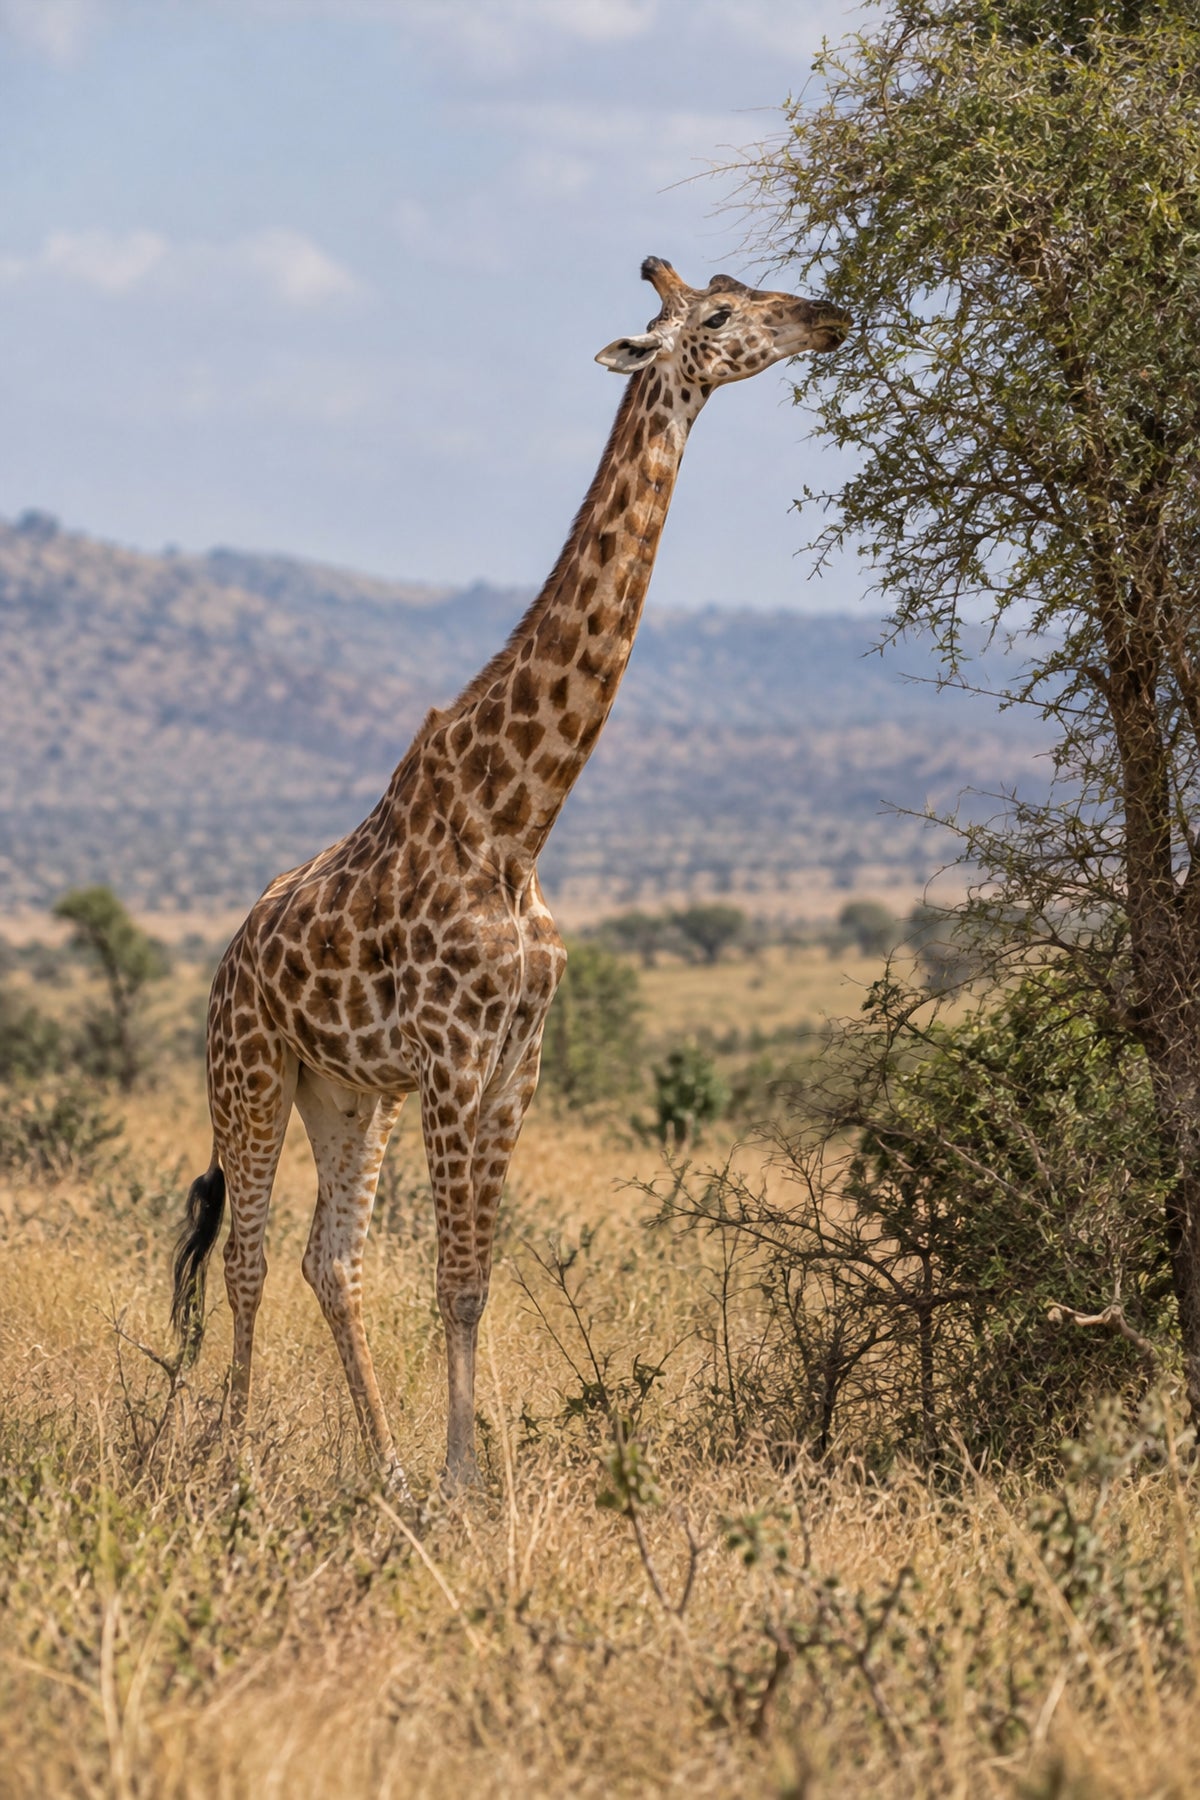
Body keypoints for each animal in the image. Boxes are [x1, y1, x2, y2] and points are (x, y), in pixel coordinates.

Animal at [171, 256, 849, 1497]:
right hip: (247, 1068)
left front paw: (465, 1478)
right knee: (244, 1257)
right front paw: (460, 1486)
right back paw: (230, 1459)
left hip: (348, 1093)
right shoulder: (451, 1054)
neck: (518, 823)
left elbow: (476, 1279)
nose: (830, 316)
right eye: (724, 312)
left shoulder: (514, 1060)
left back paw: (382, 1468)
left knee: (327, 1258)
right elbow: (450, 1278)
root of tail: (231, 952)